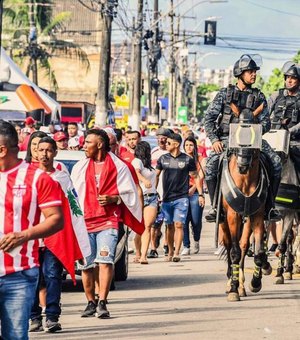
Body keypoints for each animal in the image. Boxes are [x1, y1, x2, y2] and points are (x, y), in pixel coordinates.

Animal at [218, 108, 272, 300]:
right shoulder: (233, 215)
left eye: (255, 134)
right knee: (229, 245)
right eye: (234, 132)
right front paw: (233, 288)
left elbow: (258, 251)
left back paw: (241, 284)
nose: (242, 165)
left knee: (242, 245)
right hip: (224, 220)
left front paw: (254, 282)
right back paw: (231, 282)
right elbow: (233, 252)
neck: (245, 179)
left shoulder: (257, 215)